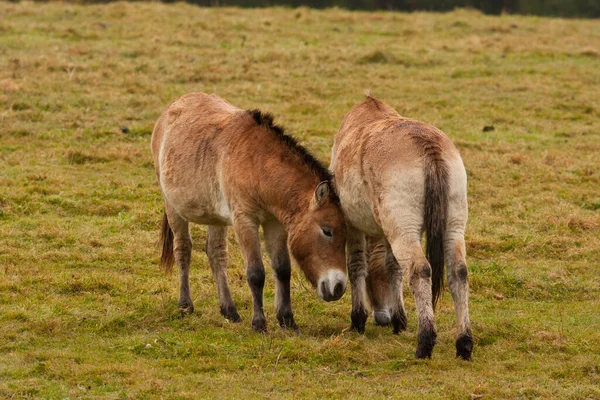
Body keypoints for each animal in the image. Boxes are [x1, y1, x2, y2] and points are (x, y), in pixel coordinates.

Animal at [150, 92, 346, 332]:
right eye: (327, 231)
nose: (338, 287)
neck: (257, 165)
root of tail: (172, 108)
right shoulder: (245, 220)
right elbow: (256, 273)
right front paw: (259, 323)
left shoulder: (274, 223)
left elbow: (282, 269)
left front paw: (287, 319)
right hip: (174, 208)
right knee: (183, 250)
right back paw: (185, 305)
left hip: (215, 217)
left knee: (215, 254)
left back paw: (229, 310)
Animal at [328, 94, 474, 360]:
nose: (382, 317)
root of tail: (429, 147)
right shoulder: (387, 232)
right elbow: (392, 268)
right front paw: (399, 320)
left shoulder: (353, 225)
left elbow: (356, 266)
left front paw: (358, 320)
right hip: (452, 227)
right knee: (459, 273)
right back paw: (464, 344)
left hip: (404, 231)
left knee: (420, 270)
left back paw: (425, 342)